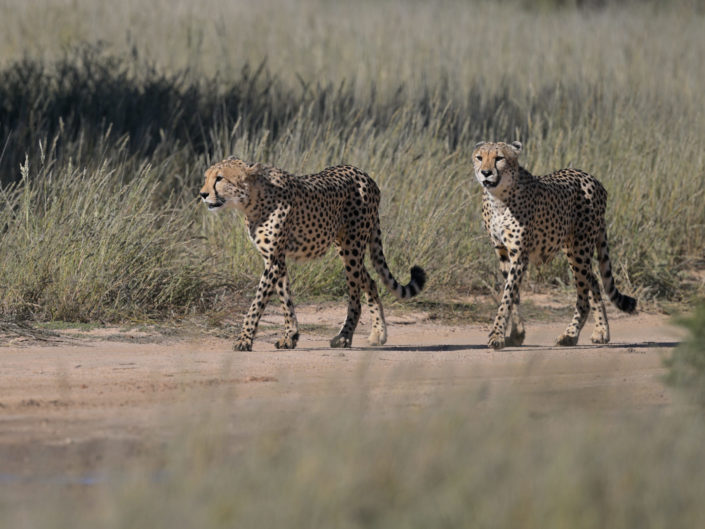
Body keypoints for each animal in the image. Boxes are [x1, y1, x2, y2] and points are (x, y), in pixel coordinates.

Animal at [199, 157, 426, 351]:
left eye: (219, 178)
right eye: (207, 177)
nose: (202, 194)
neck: (253, 200)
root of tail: (364, 174)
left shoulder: (273, 261)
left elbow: (257, 303)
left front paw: (244, 340)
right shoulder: (276, 258)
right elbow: (285, 299)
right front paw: (290, 336)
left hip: (352, 248)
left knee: (355, 295)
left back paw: (345, 336)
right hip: (345, 245)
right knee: (370, 281)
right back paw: (378, 333)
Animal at [472, 141, 636, 350]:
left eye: (499, 158)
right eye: (479, 157)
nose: (485, 172)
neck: (499, 198)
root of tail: (591, 177)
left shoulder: (519, 255)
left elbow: (507, 297)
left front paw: (497, 335)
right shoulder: (502, 251)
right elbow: (513, 296)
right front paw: (516, 334)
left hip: (579, 249)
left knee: (584, 295)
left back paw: (570, 334)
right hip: (574, 249)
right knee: (594, 281)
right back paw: (600, 331)